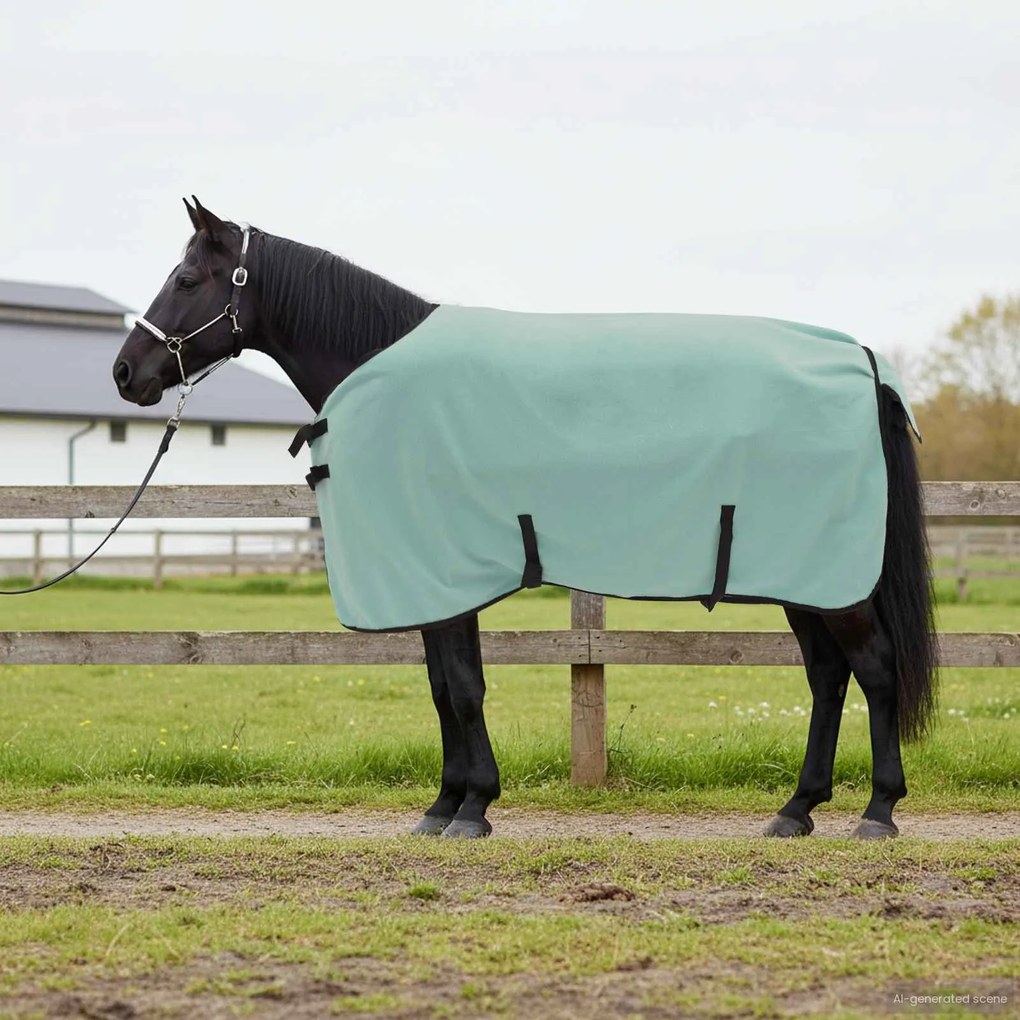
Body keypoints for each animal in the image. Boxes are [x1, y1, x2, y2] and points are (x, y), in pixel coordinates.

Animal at [112, 197, 938, 840]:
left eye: (186, 279)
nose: (125, 372)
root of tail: (861, 362)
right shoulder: (437, 581)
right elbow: (445, 685)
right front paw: (446, 804)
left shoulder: (444, 574)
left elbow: (462, 687)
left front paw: (471, 807)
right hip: (805, 576)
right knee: (828, 676)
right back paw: (797, 810)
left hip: (833, 580)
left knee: (875, 668)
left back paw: (878, 811)